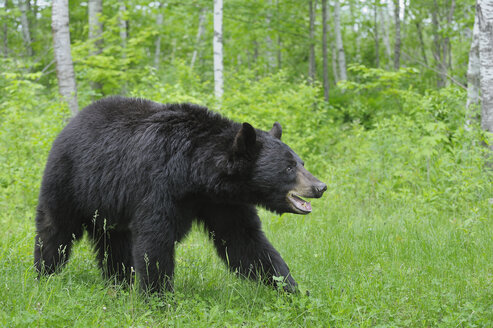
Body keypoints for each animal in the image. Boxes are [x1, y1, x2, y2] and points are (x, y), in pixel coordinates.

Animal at [34, 96, 326, 294]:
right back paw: (45, 274)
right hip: (70, 183)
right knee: (55, 230)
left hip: (108, 205)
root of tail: (70, 124)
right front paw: (158, 298)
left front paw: (293, 290)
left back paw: (119, 281)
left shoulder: (222, 202)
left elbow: (245, 242)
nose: (320, 186)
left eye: (301, 162)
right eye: (288, 167)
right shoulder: (158, 186)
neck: (195, 174)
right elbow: (155, 241)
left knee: (114, 242)